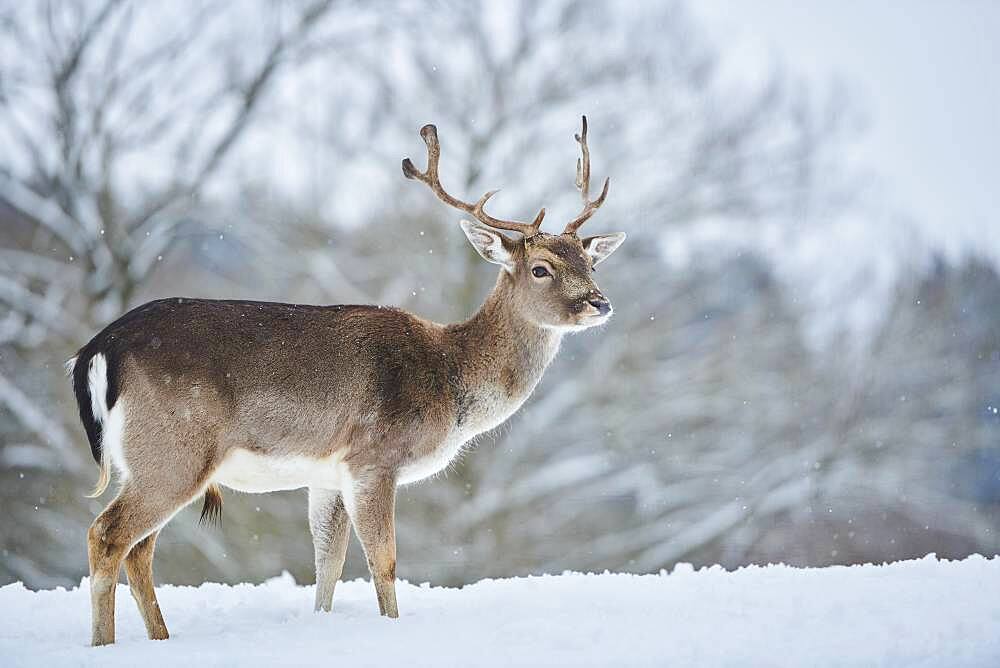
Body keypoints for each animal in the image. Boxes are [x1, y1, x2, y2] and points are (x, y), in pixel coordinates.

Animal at [70, 115, 624, 640]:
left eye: (590, 263)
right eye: (540, 268)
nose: (600, 303)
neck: (452, 380)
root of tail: (98, 349)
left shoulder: (326, 474)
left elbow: (328, 564)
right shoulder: (373, 458)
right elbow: (385, 561)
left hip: (144, 461)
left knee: (139, 550)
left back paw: (161, 638)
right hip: (174, 449)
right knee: (107, 535)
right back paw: (105, 643)